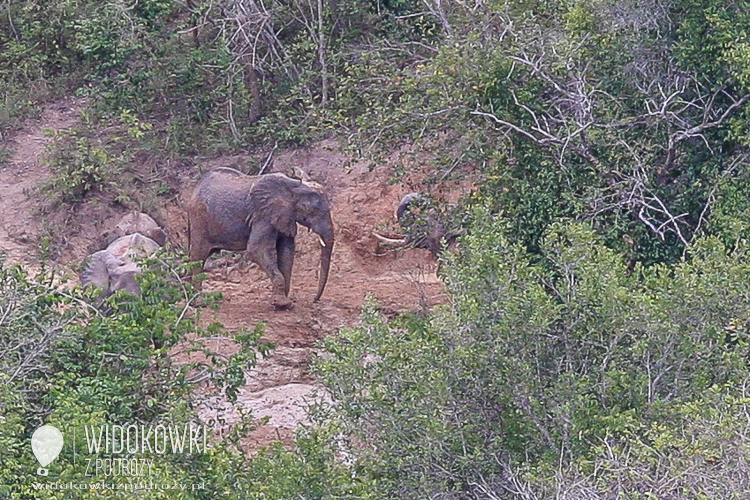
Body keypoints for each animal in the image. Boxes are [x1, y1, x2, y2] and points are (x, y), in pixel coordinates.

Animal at [185, 168, 334, 308]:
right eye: (312, 210)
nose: (315, 299)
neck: (293, 186)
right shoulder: (263, 215)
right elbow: (256, 250)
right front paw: (282, 304)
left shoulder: (284, 216)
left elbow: (287, 252)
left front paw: (285, 303)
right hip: (199, 218)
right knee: (199, 255)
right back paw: (198, 302)